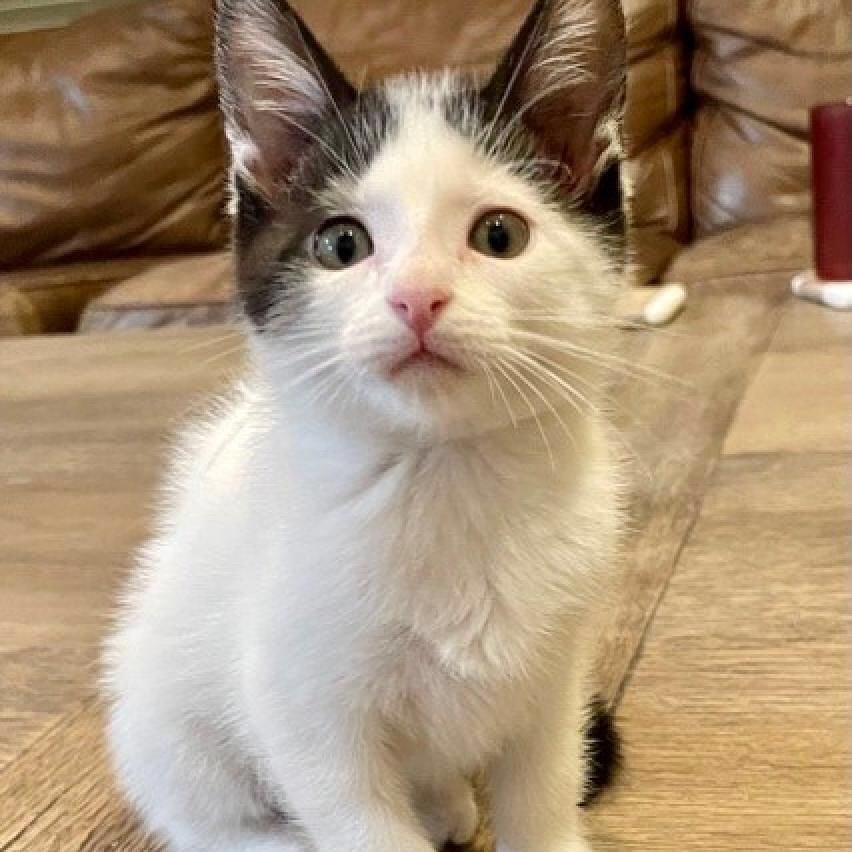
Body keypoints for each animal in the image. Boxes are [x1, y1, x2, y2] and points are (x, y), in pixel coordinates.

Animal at [105, 1, 624, 852]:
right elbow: (358, 822)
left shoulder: (554, 687)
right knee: (203, 814)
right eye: (341, 243)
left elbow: (545, 795)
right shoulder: (303, 715)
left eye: (500, 235)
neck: (445, 477)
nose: (418, 297)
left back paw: (448, 804)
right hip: (159, 713)